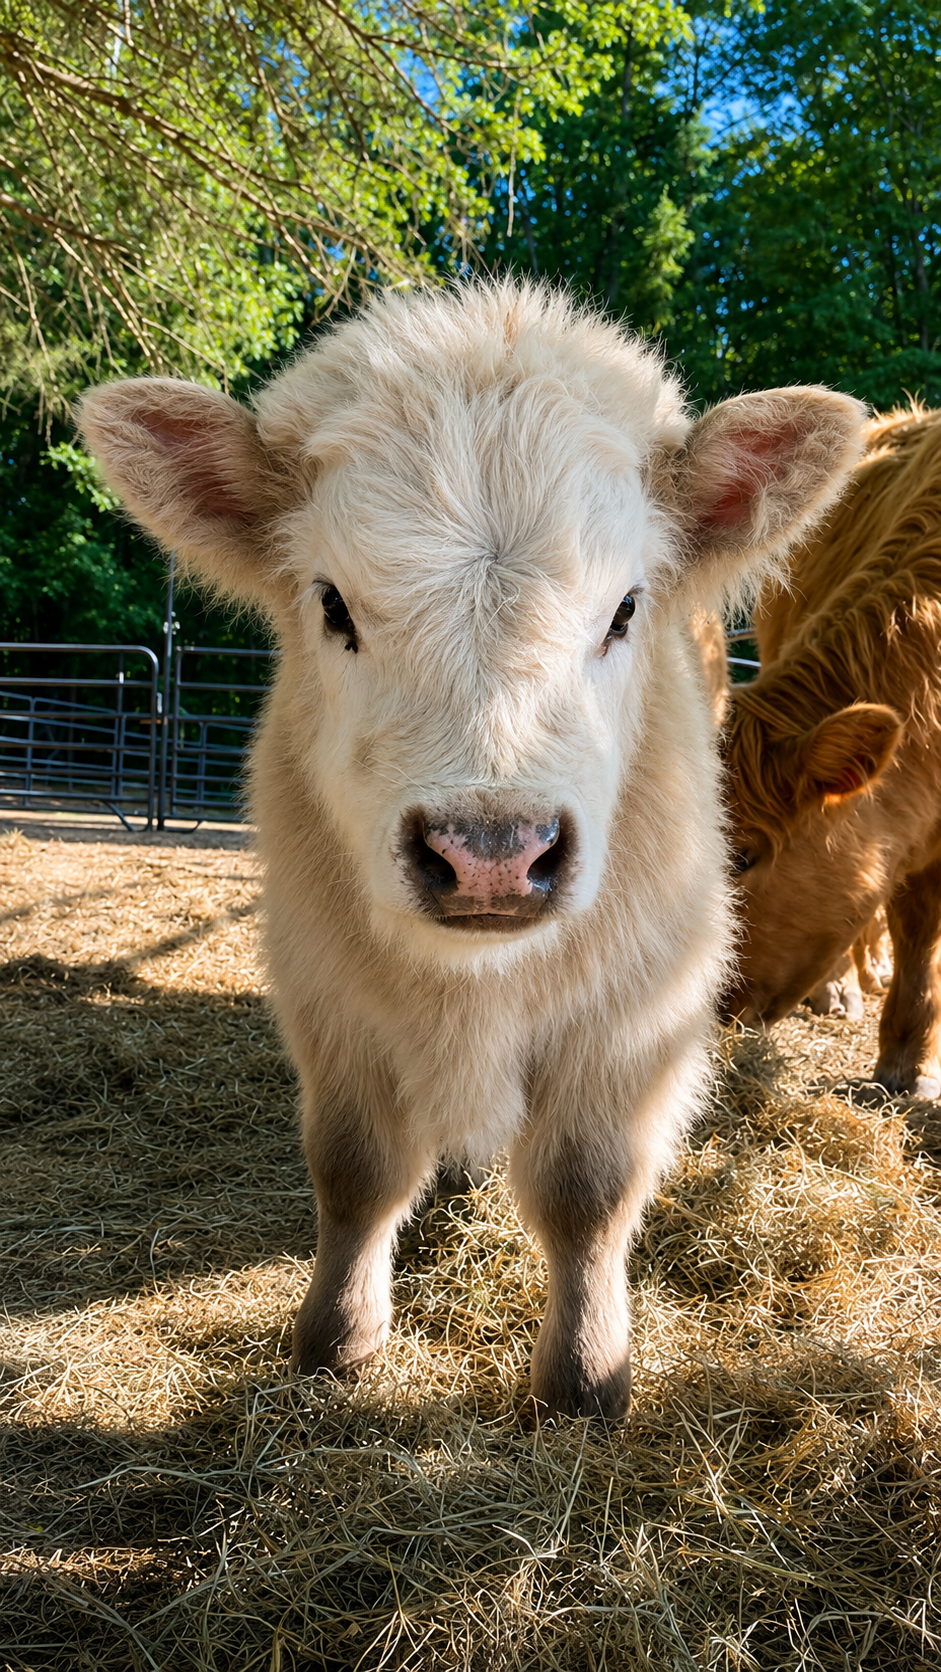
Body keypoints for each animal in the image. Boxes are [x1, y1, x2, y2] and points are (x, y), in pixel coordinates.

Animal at [80, 281, 864, 1419]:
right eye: (331, 602)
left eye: (625, 608)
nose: (491, 853)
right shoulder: (327, 995)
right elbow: (355, 1169)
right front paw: (336, 1340)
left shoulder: (635, 1013)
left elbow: (587, 1191)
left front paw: (583, 1377)